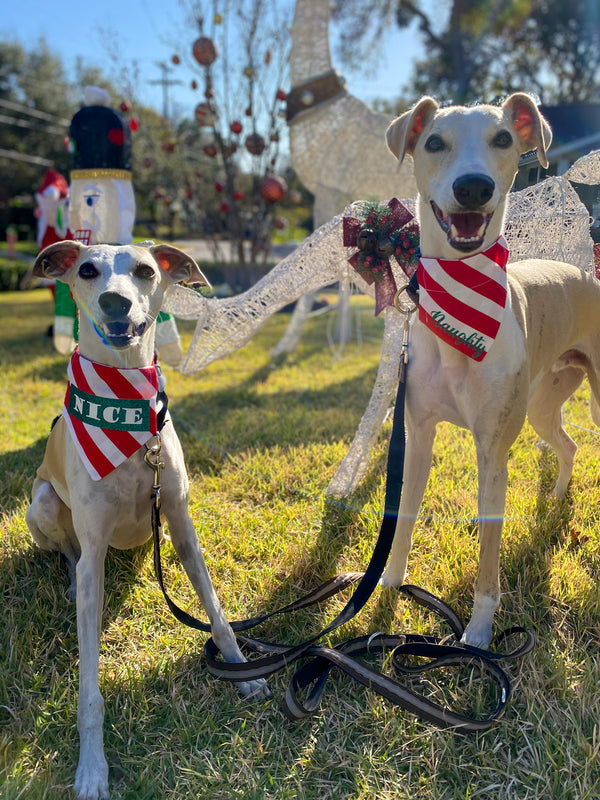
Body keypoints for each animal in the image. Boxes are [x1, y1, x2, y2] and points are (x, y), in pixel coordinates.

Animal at [382, 95, 600, 648]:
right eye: (433, 142)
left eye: (503, 139)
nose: (473, 187)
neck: (460, 301)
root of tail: (585, 274)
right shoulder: (418, 435)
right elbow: (403, 518)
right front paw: (387, 586)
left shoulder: (493, 453)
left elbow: (487, 554)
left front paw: (479, 635)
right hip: (543, 404)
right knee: (569, 445)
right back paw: (556, 498)